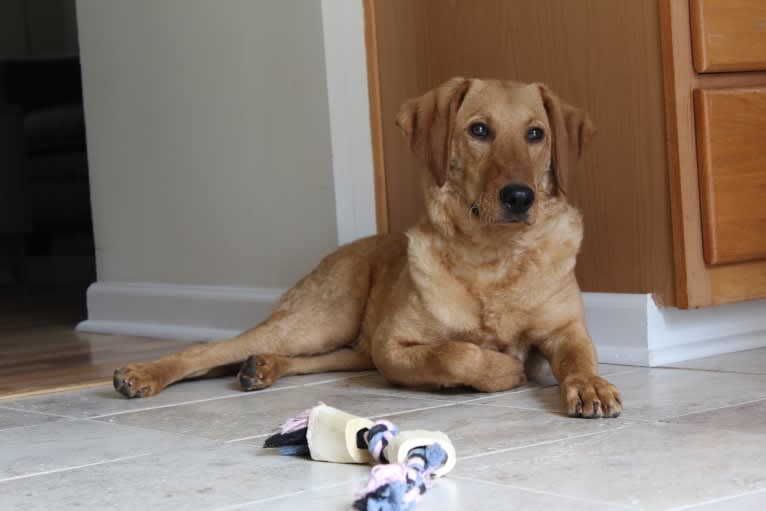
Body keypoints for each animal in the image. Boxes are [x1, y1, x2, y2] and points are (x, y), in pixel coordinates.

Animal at [117, 77, 628, 420]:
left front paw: (591, 386)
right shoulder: (393, 344)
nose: (520, 197)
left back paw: (260, 367)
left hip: (348, 344)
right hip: (320, 321)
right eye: (479, 130)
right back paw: (143, 374)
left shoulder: (566, 331)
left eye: (536, 134)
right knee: (208, 350)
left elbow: (578, 359)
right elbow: (458, 353)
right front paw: (501, 368)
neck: (494, 258)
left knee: (302, 360)